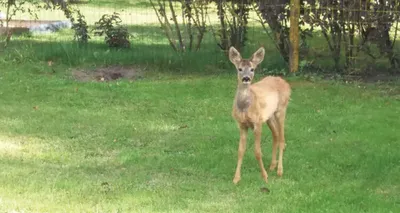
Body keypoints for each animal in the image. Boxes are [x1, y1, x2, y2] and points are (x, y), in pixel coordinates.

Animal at [228, 46, 290, 185]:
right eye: (239, 69)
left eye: (252, 69)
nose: (246, 78)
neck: (245, 107)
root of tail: (286, 83)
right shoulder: (242, 125)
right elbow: (240, 150)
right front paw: (236, 178)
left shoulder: (257, 123)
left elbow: (257, 151)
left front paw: (264, 177)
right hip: (269, 116)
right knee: (276, 135)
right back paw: (272, 165)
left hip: (281, 110)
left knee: (282, 139)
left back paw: (279, 170)